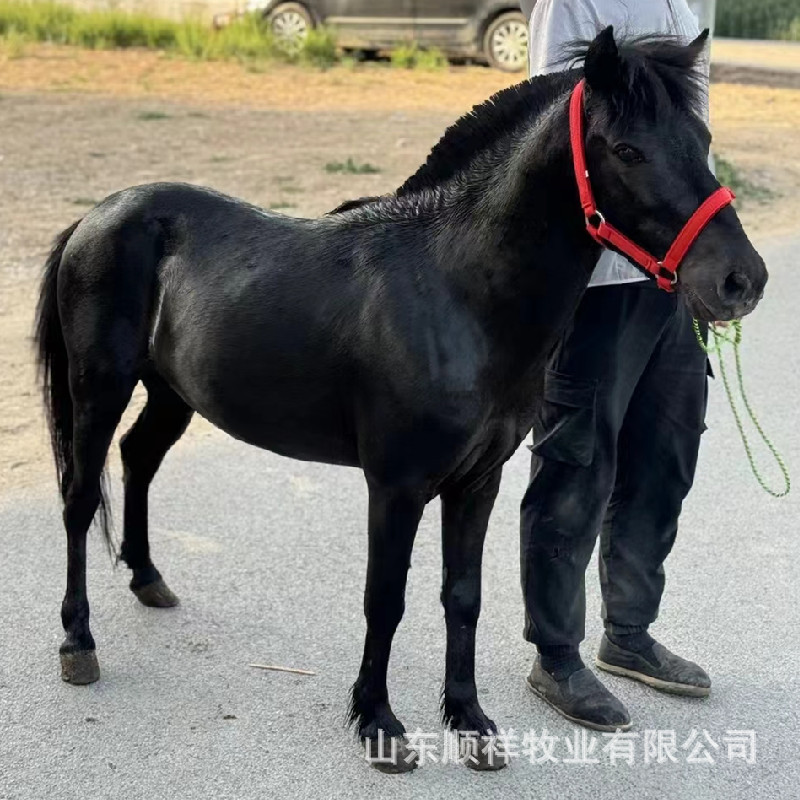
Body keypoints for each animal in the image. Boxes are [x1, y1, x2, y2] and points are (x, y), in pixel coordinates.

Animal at [35, 28, 767, 773]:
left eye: (701, 138)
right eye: (626, 150)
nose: (741, 280)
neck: (457, 292)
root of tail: (96, 217)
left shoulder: (477, 482)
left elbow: (462, 597)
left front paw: (471, 722)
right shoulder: (396, 485)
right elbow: (384, 599)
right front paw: (379, 722)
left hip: (172, 392)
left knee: (138, 459)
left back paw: (148, 580)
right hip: (98, 387)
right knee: (79, 499)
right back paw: (78, 643)